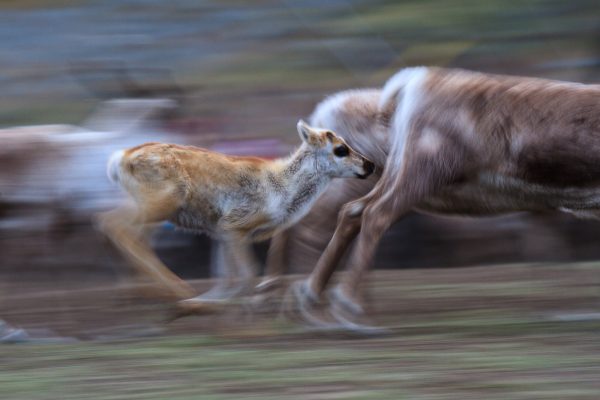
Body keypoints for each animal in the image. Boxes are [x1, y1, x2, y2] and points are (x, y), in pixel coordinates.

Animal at [100, 120, 372, 302]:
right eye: (340, 149)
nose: (370, 164)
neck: (281, 189)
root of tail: (120, 158)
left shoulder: (221, 231)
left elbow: (226, 278)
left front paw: (215, 303)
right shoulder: (234, 226)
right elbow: (247, 273)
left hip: (151, 209)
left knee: (119, 228)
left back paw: (142, 291)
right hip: (162, 203)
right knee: (117, 226)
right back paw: (177, 291)